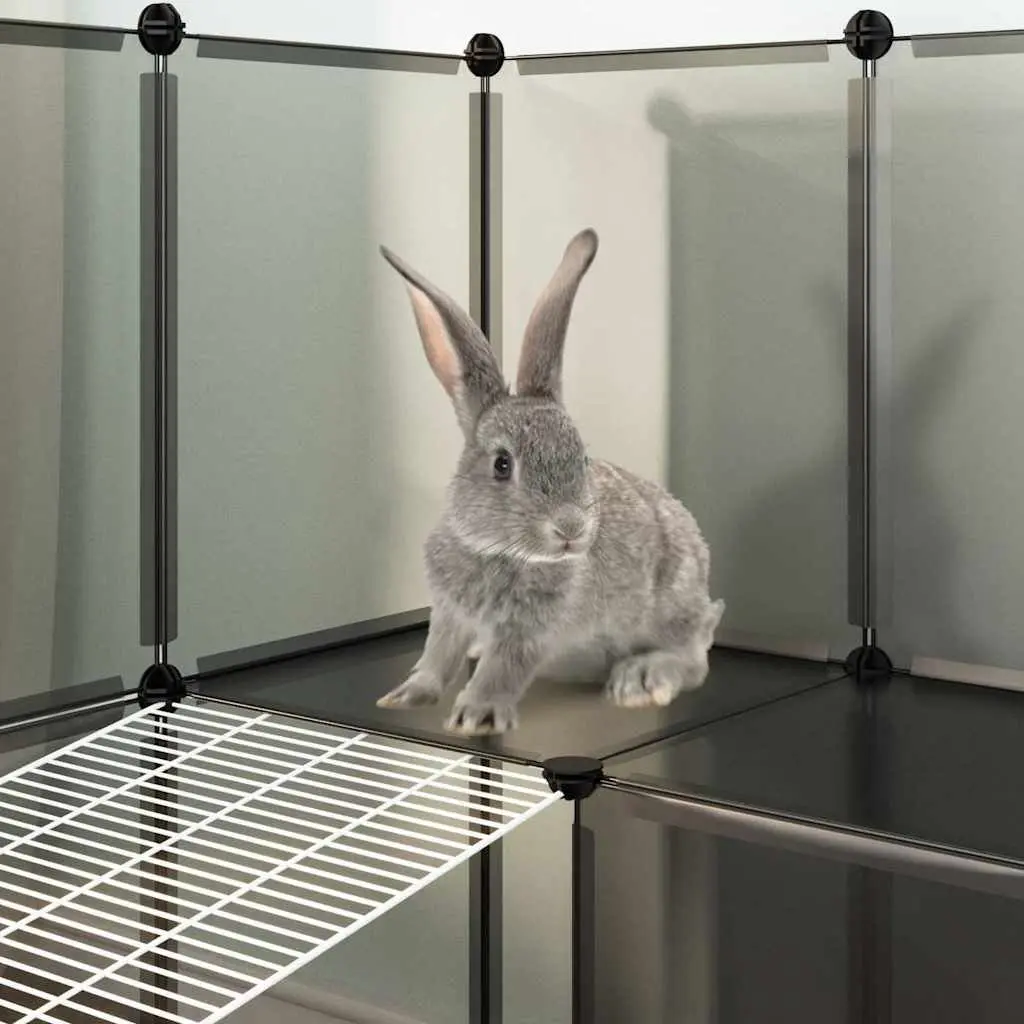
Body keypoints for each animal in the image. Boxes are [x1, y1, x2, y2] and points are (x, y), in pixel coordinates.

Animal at [376, 228, 725, 735]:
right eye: (502, 464)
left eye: (582, 457)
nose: (571, 528)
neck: (497, 551)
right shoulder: (449, 614)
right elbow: (437, 656)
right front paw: (404, 696)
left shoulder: (531, 629)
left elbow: (503, 668)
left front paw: (476, 716)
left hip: (673, 603)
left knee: (693, 659)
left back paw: (638, 681)